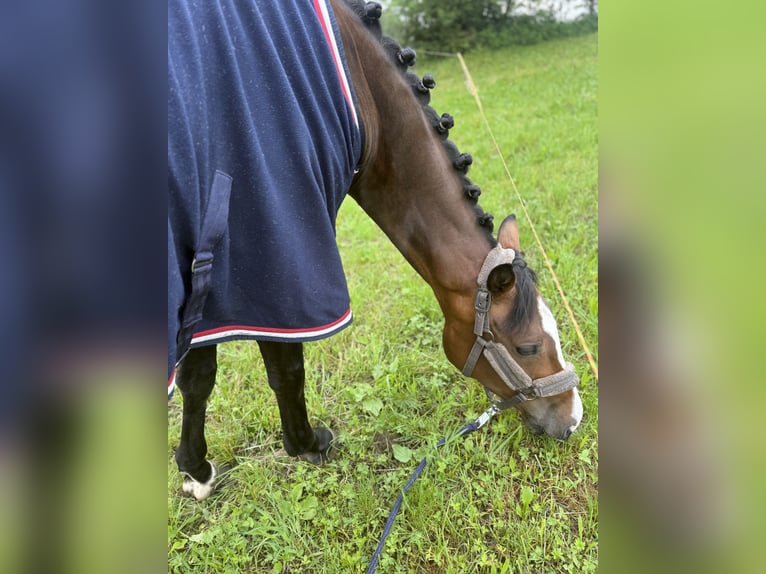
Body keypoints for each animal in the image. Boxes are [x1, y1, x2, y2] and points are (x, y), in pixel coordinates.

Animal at [168, 0, 583, 500]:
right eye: (528, 347)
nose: (574, 418)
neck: (365, 102)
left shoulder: (209, 277)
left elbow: (197, 379)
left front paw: (195, 469)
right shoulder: (282, 253)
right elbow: (284, 369)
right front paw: (305, 444)